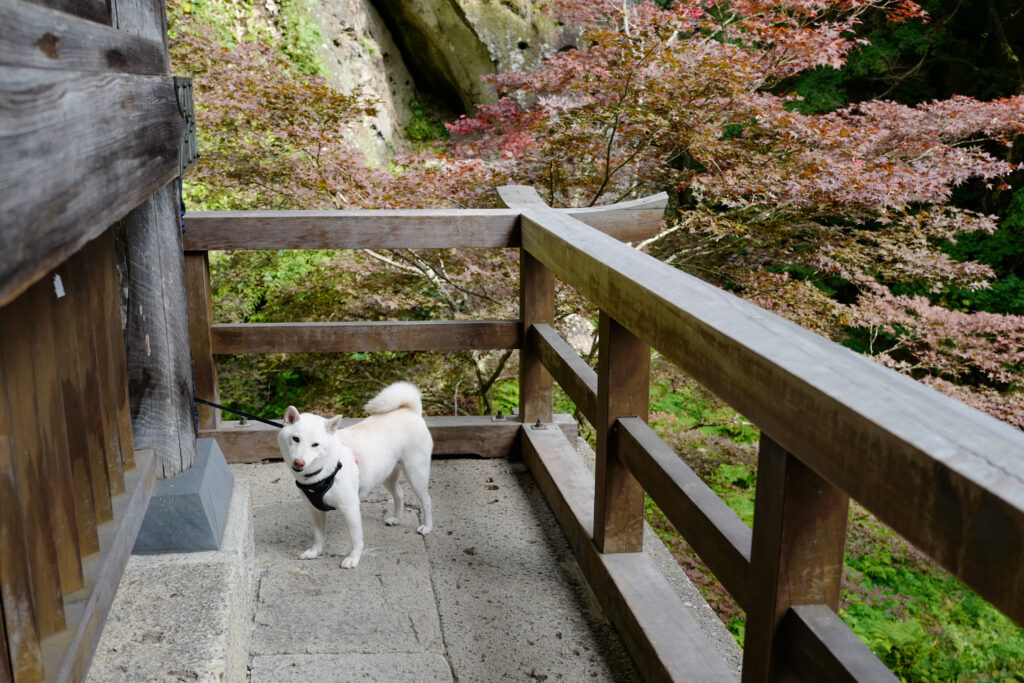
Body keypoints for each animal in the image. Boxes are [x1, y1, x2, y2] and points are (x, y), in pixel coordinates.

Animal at [276, 382, 432, 569]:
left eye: (315, 444)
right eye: (295, 439)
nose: (299, 462)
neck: (323, 471)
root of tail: (410, 411)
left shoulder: (350, 507)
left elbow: (356, 539)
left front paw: (353, 558)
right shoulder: (315, 509)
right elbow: (319, 536)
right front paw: (315, 551)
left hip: (416, 474)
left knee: (426, 500)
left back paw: (427, 526)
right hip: (387, 474)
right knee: (399, 494)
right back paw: (397, 518)